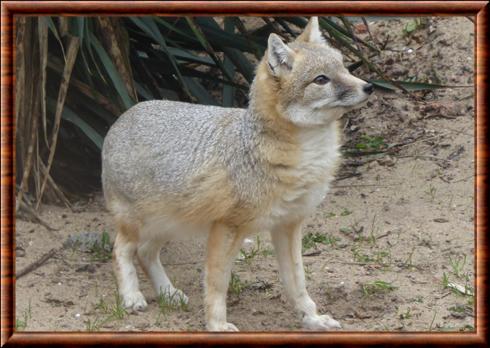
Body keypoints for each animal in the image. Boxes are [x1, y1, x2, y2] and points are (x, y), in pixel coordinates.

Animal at [101, 17, 374, 332]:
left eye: (343, 67)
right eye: (321, 80)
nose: (369, 87)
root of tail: (126, 113)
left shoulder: (289, 224)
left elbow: (297, 280)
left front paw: (312, 318)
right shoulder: (227, 226)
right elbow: (217, 282)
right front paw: (217, 325)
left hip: (173, 223)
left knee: (145, 252)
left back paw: (168, 294)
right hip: (142, 222)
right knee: (121, 248)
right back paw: (131, 296)